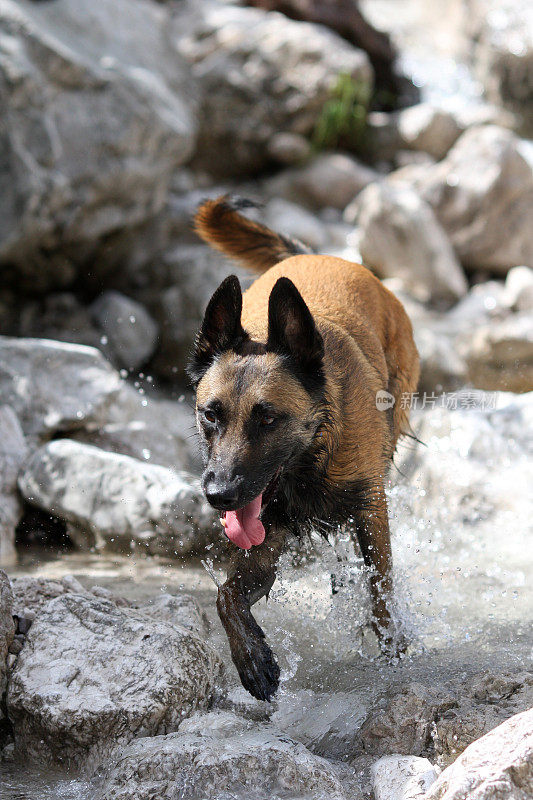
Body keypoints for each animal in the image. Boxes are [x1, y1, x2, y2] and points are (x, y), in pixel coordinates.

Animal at [187, 197, 420, 704]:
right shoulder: (263, 538)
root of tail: (322, 255)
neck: (311, 458)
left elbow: (382, 591)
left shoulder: (371, 507)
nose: (219, 495)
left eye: (267, 419)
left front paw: (396, 652)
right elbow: (226, 595)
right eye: (211, 415)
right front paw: (252, 660)